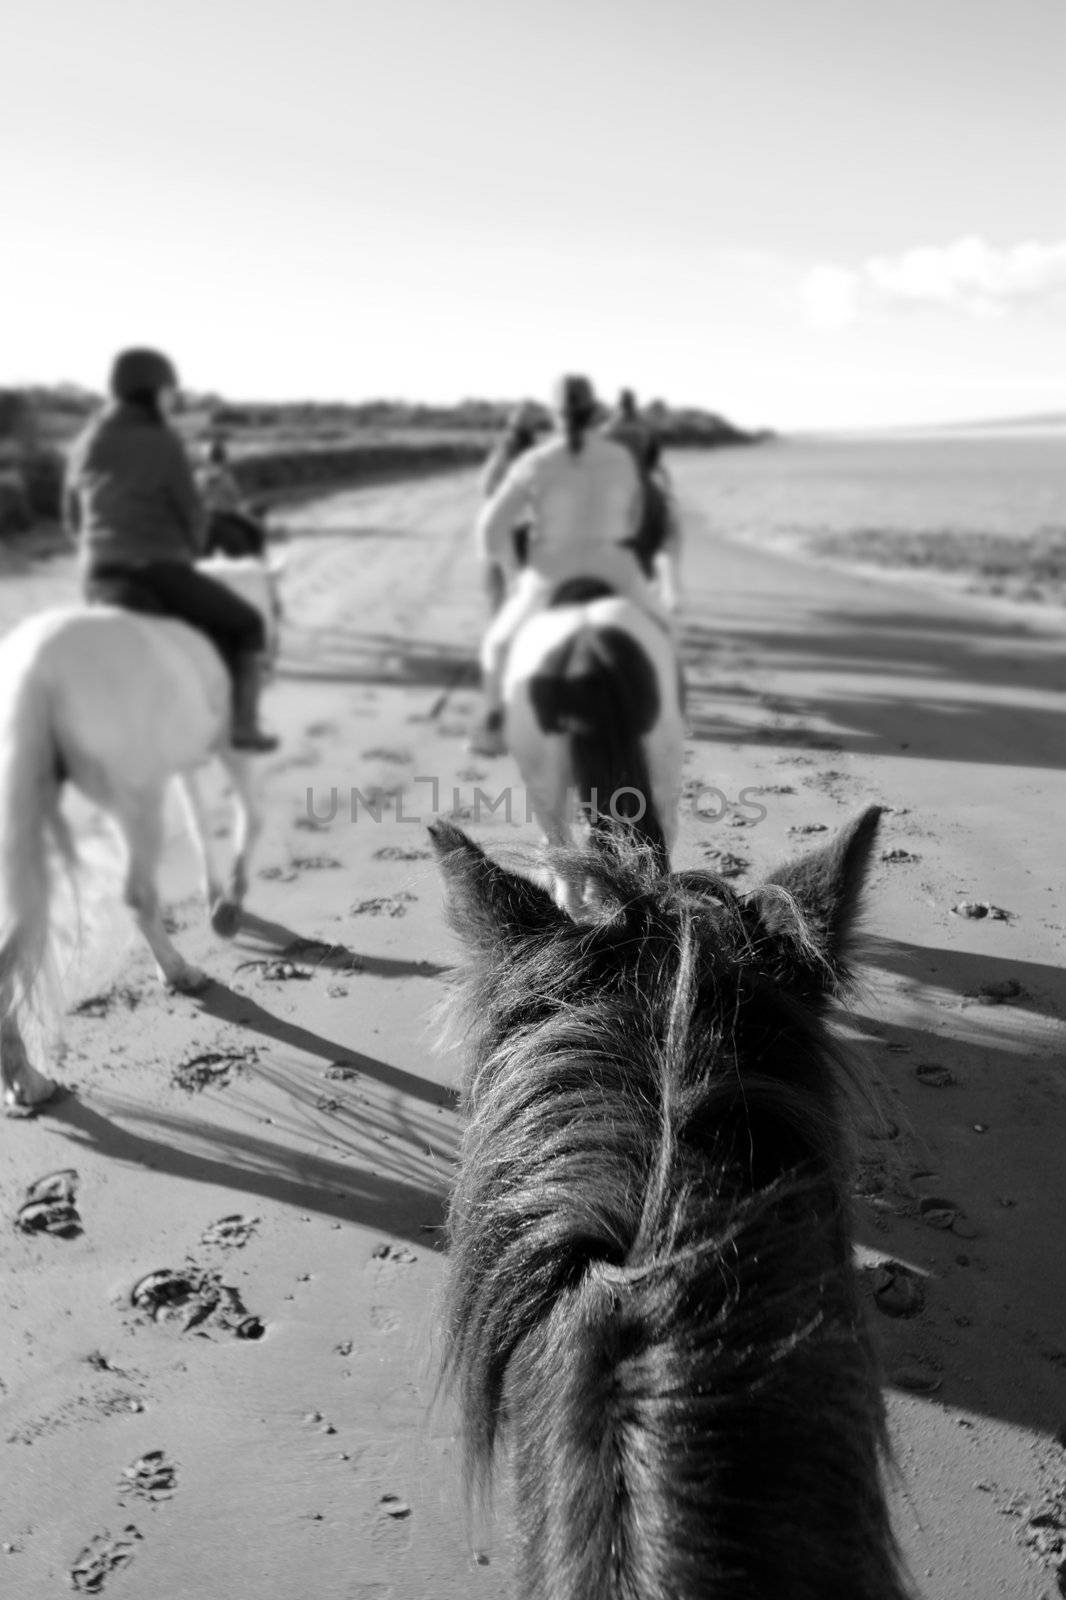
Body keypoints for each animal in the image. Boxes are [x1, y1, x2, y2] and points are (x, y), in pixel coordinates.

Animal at [0, 556, 280, 1120]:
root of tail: (34, 669)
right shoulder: (228, 750)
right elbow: (250, 815)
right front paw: (229, 907)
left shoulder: (183, 763)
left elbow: (199, 822)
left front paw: (216, 897)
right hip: (137, 804)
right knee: (135, 895)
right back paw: (179, 973)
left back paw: (24, 1082)